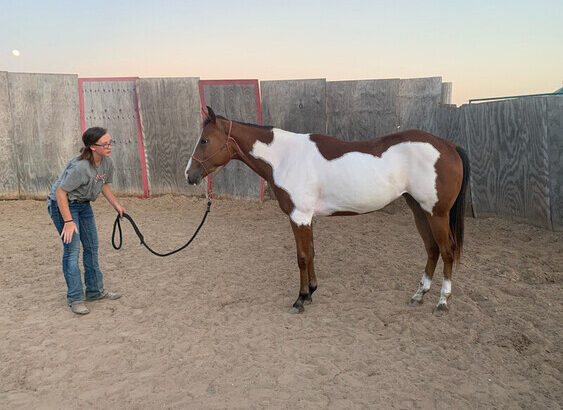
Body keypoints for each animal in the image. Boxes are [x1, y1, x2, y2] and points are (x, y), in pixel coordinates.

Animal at [186, 105, 472, 314]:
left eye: (204, 140)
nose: (190, 175)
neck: (285, 157)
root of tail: (449, 146)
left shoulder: (299, 216)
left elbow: (302, 256)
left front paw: (300, 299)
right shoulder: (307, 218)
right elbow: (312, 253)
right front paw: (311, 292)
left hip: (437, 214)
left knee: (447, 251)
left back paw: (442, 303)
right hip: (419, 210)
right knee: (432, 249)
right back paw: (419, 295)